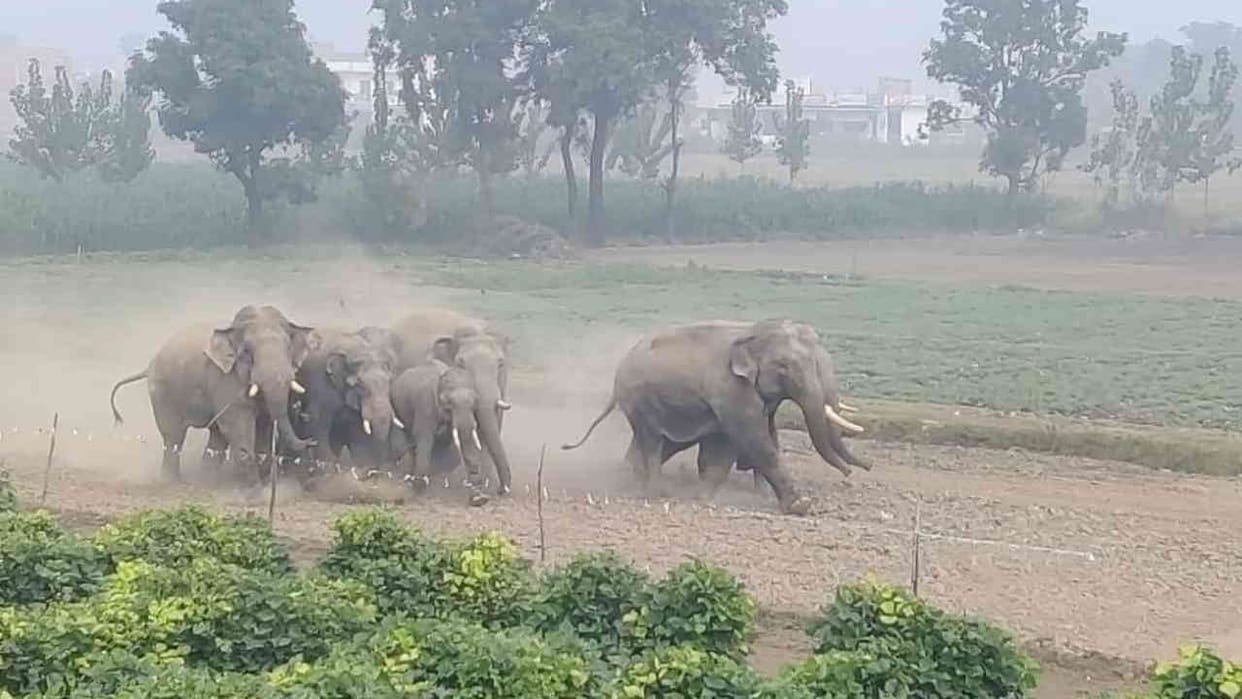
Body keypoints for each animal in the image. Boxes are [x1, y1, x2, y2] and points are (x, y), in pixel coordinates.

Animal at [109, 305, 319, 481]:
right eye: (246, 351)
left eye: (288, 347)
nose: (311, 441)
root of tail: (149, 366)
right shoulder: (224, 378)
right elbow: (238, 425)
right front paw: (255, 494)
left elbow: (264, 423)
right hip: (162, 392)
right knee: (173, 436)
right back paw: (172, 482)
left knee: (216, 436)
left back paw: (207, 480)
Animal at [292, 327, 402, 473]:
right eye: (360, 385)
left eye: (390, 381)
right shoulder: (321, 384)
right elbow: (318, 423)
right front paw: (328, 468)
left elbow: (358, 432)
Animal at [391, 350, 490, 507]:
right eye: (448, 403)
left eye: (475, 402)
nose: (480, 497)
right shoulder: (425, 403)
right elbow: (424, 437)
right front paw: (418, 486)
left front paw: (478, 498)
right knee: (411, 439)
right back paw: (412, 477)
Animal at [562, 320, 868, 516]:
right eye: (784, 367)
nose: (853, 472)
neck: (753, 331)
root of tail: (617, 375)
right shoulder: (730, 389)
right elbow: (751, 438)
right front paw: (800, 505)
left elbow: (763, 435)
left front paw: (717, 496)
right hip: (640, 401)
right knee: (652, 441)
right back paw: (655, 491)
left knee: (663, 443)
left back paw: (627, 477)